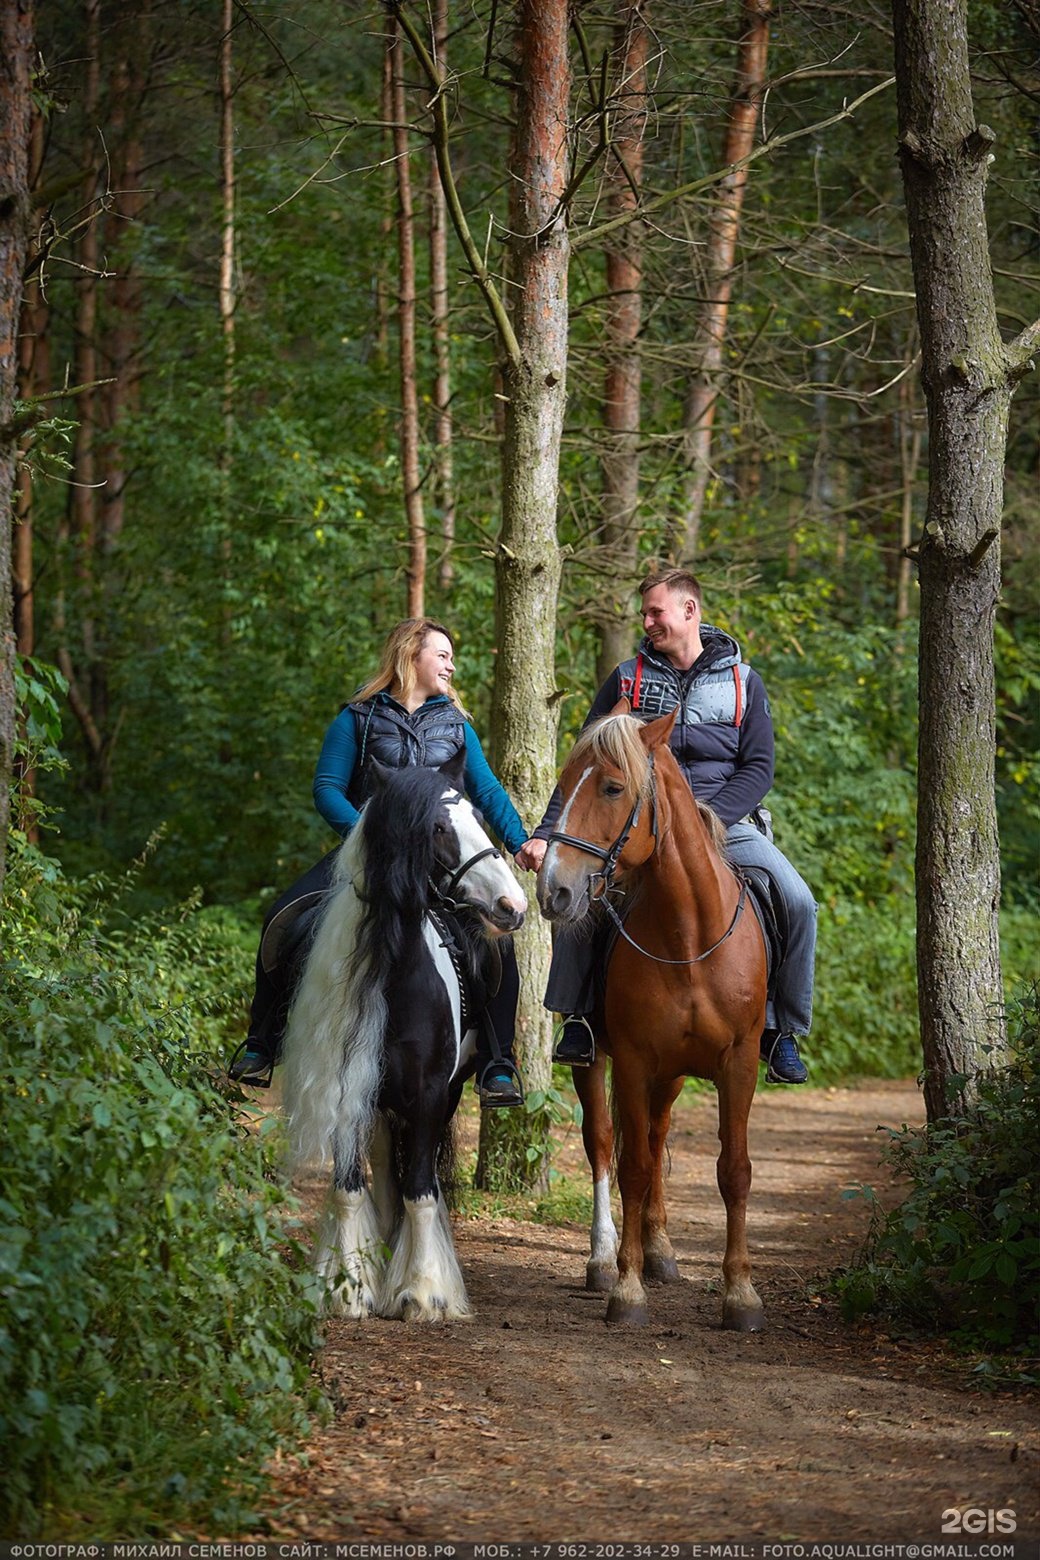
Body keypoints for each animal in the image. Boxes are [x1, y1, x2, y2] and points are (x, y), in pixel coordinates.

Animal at [280, 755, 523, 1316]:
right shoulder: (346, 1087)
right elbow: (350, 1188)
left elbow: (420, 1190)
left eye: (481, 816)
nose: (512, 904)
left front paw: (423, 1291)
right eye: (436, 828)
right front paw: (346, 1287)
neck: (392, 973)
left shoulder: (432, 1094)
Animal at [542, 708, 770, 1329]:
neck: (688, 937)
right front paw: (626, 1288)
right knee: (603, 1143)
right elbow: (634, 1168)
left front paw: (740, 1294)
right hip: (599, 1061)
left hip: (671, 1075)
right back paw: (605, 1259)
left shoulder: (738, 1062)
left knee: (656, 1131)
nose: (554, 888)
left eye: (613, 787)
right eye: (563, 781)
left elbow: (734, 1170)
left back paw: (660, 1250)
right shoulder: (633, 1060)